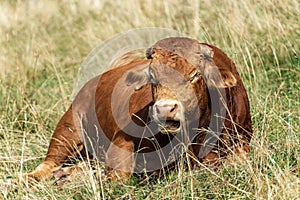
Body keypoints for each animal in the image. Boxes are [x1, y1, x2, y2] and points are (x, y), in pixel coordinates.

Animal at [21, 36, 252, 184]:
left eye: (195, 74)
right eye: (152, 76)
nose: (165, 109)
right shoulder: (123, 140)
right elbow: (119, 175)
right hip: (68, 128)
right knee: (48, 164)